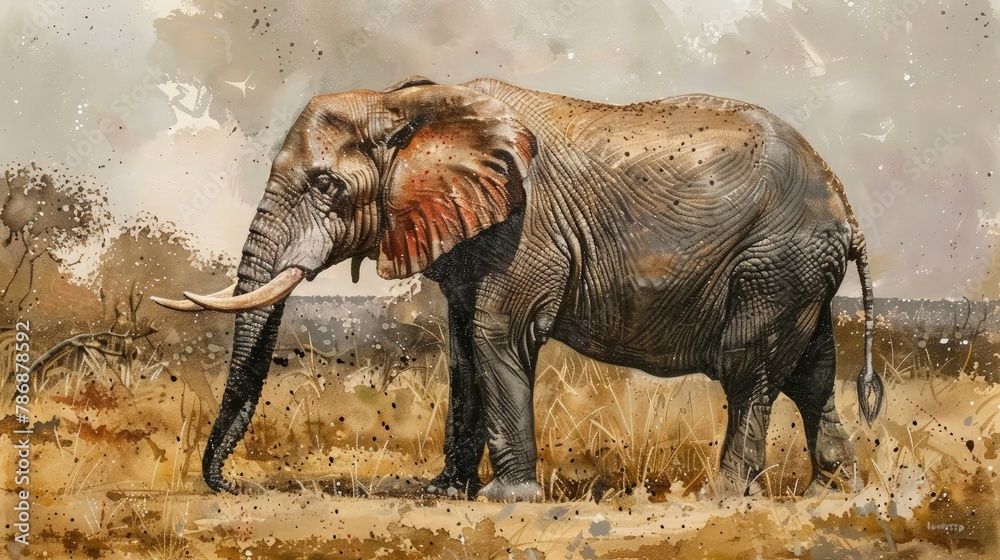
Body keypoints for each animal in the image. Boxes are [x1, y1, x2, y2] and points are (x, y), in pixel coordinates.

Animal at [153, 76, 884, 501]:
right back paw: (833, 494)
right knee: (812, 372)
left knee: (749, 370)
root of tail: (846, 206)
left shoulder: (526, 229)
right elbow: (462, 350)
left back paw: (727, 499)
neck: (407, 102)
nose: (229, 487)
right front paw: (444, 492)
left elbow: (496, 337)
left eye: (327, 186)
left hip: (774, 262)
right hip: (797, 269)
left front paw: (508, 502)